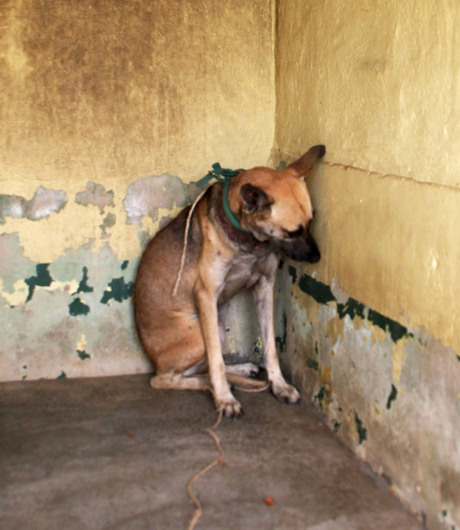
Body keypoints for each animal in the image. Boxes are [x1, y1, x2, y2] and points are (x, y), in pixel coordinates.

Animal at [135, 144, 326, 416]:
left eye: (312, 221)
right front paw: (224, 398)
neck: (248, 239)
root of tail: (153, 358)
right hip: (202, 333)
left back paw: (237, 370)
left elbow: (270, 347)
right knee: (164, 379)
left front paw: (279, 385)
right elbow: (216, 359)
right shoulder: (207, 295)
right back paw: (210, 385)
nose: (317, 257)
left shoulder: (264, 288)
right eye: (292, 232)